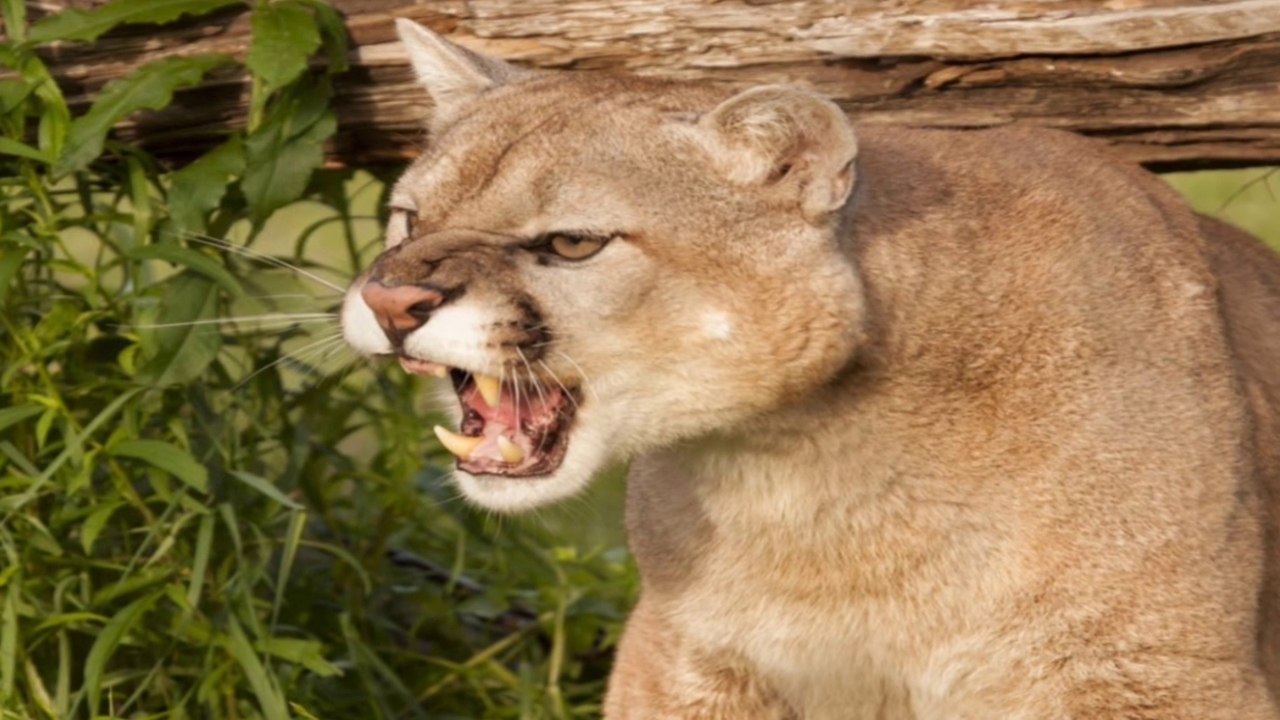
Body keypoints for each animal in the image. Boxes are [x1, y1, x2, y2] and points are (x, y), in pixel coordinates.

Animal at [341, 19, 1280, 719]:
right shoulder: (683, 663)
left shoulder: (1158, 674)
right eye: (410, 217)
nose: (389, 300)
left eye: (571, 243)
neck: (806, 470)